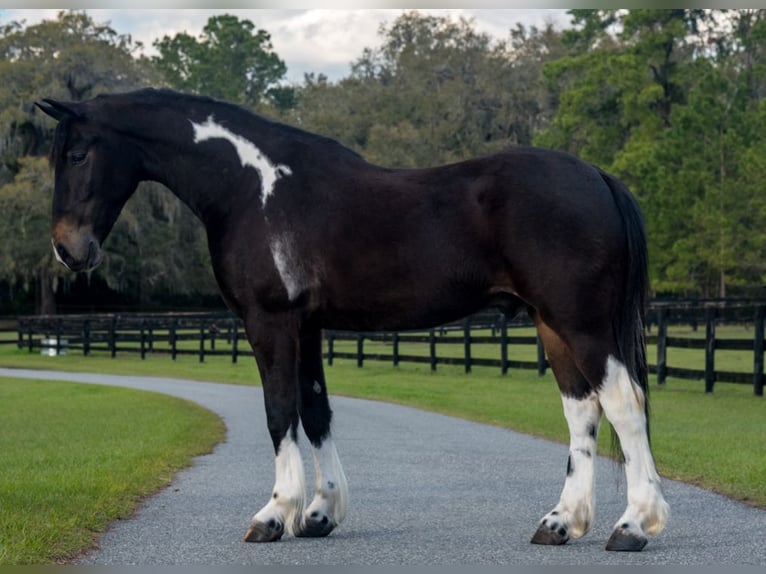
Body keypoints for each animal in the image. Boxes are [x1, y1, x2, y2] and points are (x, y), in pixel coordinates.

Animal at [37, 89, 672, 552]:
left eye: (77, 154)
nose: (69, 250)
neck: (251, 186)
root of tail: (597, 177)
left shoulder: (270, 322)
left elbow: (279, 412)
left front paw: (275, 515)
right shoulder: (308, 325)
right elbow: (314, 411)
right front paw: (320, 513)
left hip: (581, 322)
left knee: (623, 404)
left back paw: (633, 527)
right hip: (551, 325)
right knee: (582, 411)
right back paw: (561, 523)